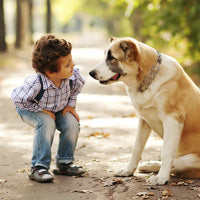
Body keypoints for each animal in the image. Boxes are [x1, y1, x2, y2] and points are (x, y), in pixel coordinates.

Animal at [89, 37, 200, 184]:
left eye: (112, 58)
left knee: (176, 163)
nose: (91, 73)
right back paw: (149, 166)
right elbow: (136, 148)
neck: (148, 77)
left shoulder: (173, 120)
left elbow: (166, 152)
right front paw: (128, 170)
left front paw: (161, 178)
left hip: (189, 160)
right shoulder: (144, 120)